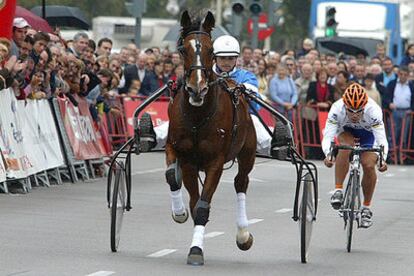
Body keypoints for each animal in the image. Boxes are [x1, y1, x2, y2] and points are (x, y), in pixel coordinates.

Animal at [164, 10, 256, 266]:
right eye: (182, 49)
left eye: (210, 49)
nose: (197, 89)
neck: (198, 115)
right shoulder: (183, 156)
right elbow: (177, 182)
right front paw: (180, 212)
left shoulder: (215, 161)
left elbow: (203, 207)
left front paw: (196, 250)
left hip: (247, 151)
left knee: (241, 182)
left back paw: (243, 234)